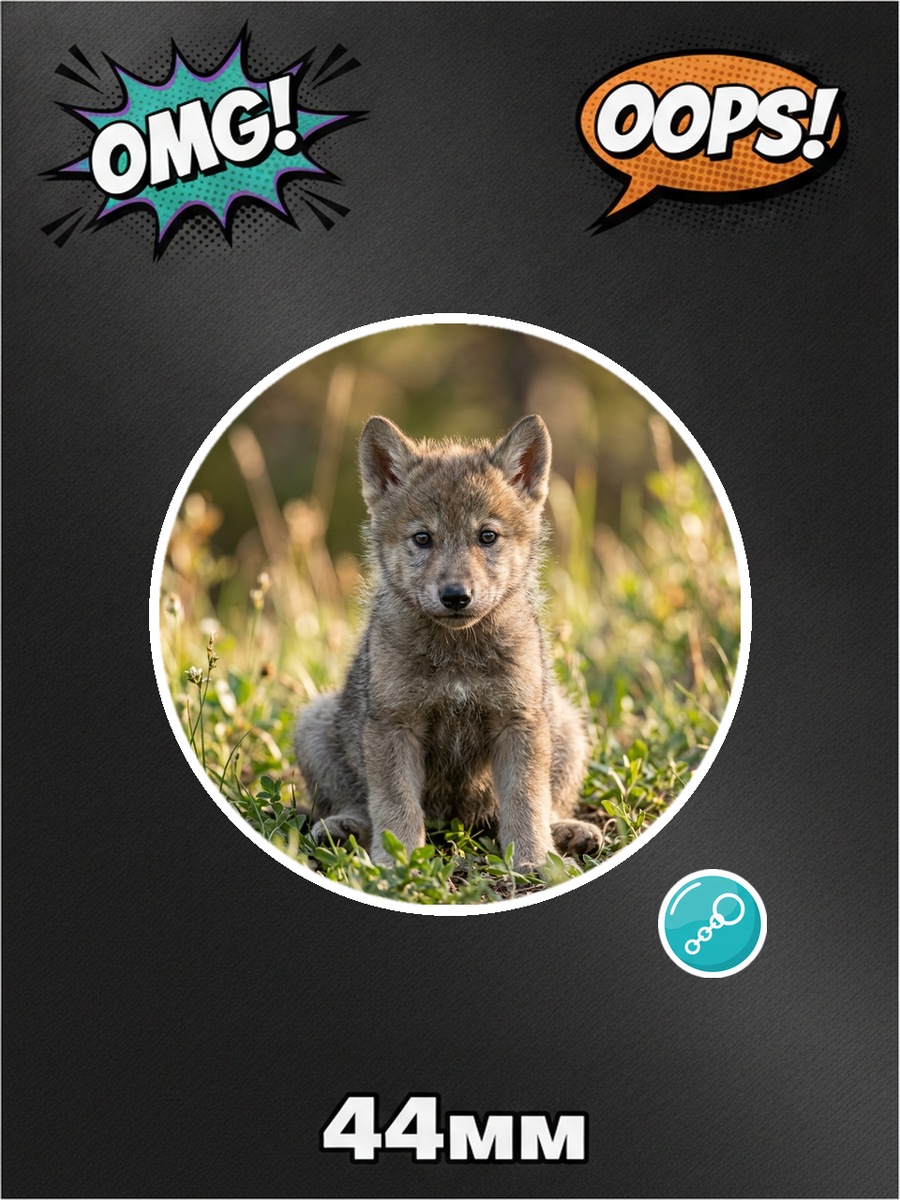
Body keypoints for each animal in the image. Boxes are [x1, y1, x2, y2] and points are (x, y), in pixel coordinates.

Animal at [294, 413, 597, 870]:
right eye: (423, 538)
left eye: (487, 536)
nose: (456, 596)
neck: (457, 656)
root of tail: (455, 822)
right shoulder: (394, 724)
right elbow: (395, 805)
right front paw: (398, 865)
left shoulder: (518, 720)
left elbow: (527, 801)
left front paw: (531, 861)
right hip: (314, 725)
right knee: (353, 802)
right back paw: (344, 828)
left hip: (566, 724)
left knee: (551, 801)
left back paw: (567, 832)